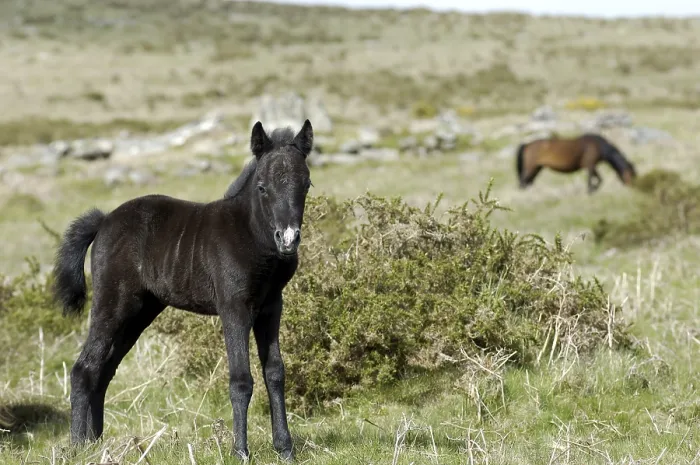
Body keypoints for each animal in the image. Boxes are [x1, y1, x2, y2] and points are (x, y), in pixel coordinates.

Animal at [52, 119, 315, 462]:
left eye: (306, 185)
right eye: (262, 187)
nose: (288, 239)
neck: (251, 236)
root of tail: (105, 220)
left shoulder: (271, 306)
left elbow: (275, 374)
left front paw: (285, 450)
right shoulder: (234, 308)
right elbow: (241, 380)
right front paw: (240, 452)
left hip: (141, 311)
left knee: (103, 371)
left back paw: (96, 443)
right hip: (112, 304)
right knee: (84, 369)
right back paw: (77, 446)